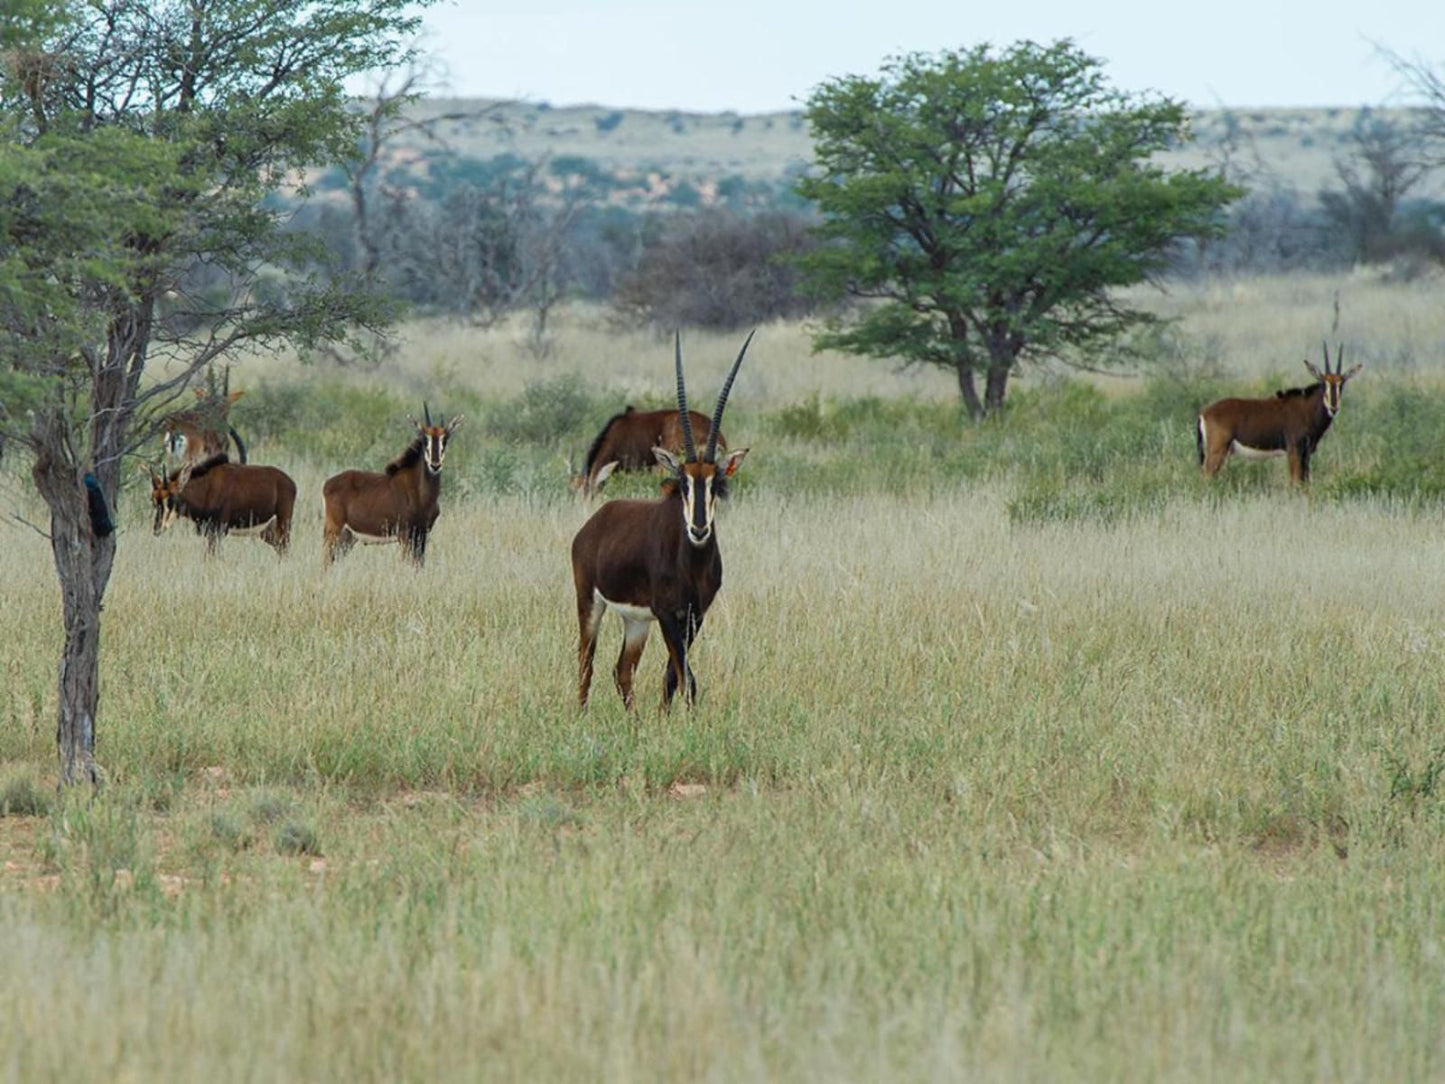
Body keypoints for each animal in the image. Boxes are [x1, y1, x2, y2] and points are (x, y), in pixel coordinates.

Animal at [147, 450, 296, 555]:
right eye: (153, 500)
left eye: (171, 499)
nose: (157, 529)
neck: (206, 487)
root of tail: (290, 483)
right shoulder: (209, 531)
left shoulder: (219, 530)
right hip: (267, 530)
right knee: (280, 548)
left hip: (283, 523)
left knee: (285, 549)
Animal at [322, 404, 462, 569]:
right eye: (424, 438)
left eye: (445, 439)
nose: (435, 465)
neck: (420, 493)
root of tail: (327, 484)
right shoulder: (404, 534)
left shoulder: (422, 533)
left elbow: (419, 565)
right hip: (334, 531)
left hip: (348, 537)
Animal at [1190, 343, 1358, 482]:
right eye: (1324, 383)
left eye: (1342, 383)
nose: (1333, 407)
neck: (1307, 409)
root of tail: (1204, 413)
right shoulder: (1294, 450)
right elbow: (1295, 482)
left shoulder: (1306, 454)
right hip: (1217, 451)